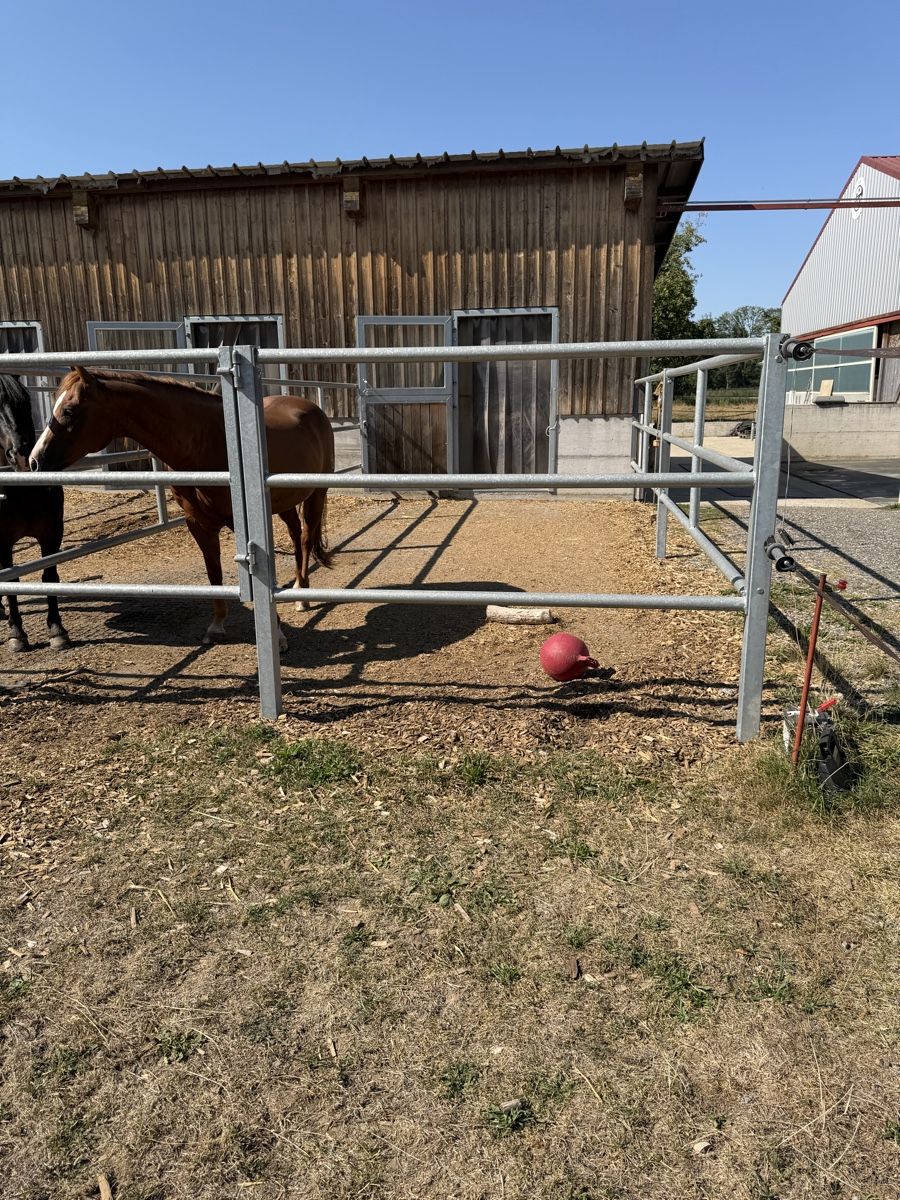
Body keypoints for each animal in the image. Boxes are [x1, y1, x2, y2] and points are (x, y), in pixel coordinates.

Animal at [0, 375, 70, 652]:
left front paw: (57, 630)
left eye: (26, 400)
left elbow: (49, 575)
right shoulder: (2, 543)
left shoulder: (52, 533)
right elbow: (11, 580)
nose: (21, 454)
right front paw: (17, 633)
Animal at [28, 366, 334, 649]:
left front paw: (278, 635)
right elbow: (214, 574)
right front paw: (216, 627)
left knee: (306, 538)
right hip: (284, 502)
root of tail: (310, 409)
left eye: (69, 411)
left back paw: (302, 596)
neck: (208, 442)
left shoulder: (244, 521)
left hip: (316, 494)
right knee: (296, 535)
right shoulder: (197, 522)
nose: (34, 461)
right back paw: (299, 587)